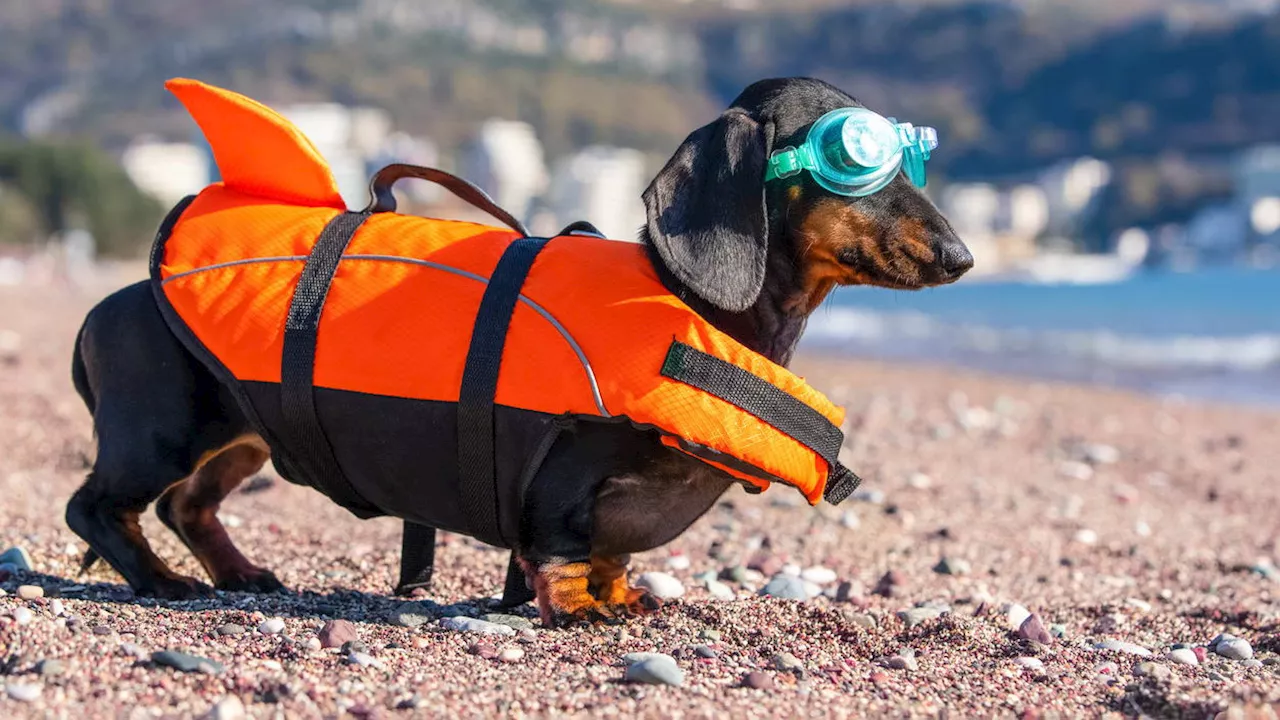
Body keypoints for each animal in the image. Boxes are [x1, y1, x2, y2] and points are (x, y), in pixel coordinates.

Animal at [67, 77, 967, 622]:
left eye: (913, 160)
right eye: (853, 159)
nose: (961, 258)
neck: (695, 305)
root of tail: (113, 302)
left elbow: (612, 554)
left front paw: (621, 595)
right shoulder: (563, 474)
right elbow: (563, 547)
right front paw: (576, 607)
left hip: (244, 434)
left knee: (188, 505)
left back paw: (239, 575)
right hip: (160, 434)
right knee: (98, 507)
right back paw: (160, 581)